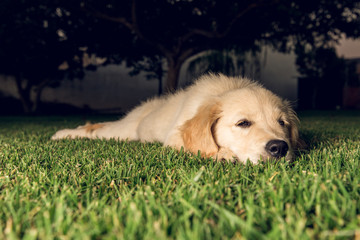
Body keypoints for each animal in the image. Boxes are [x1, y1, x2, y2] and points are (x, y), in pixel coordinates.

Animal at [52, 73, 300, 163]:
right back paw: (62, 134)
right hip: (124, 131)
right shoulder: (173, 138)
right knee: (95, 129)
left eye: (282, 123)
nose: (279, 148)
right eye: (243, 123)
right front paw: (223, 154)